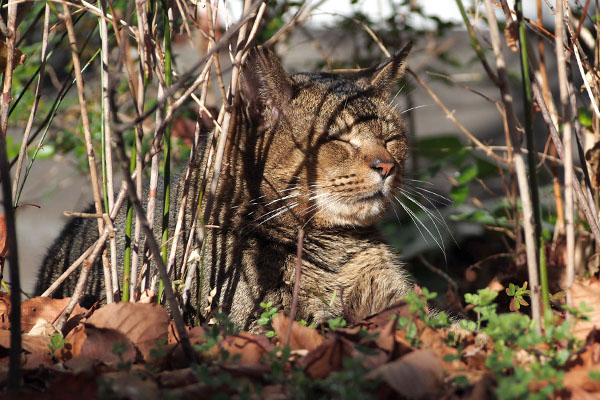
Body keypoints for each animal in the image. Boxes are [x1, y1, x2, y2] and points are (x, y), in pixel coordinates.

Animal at [35, 43, 412, 332]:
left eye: (391, 138)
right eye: (338, 139)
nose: (387, 166)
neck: (338, 250)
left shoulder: (390, 298)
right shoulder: (260, 318)